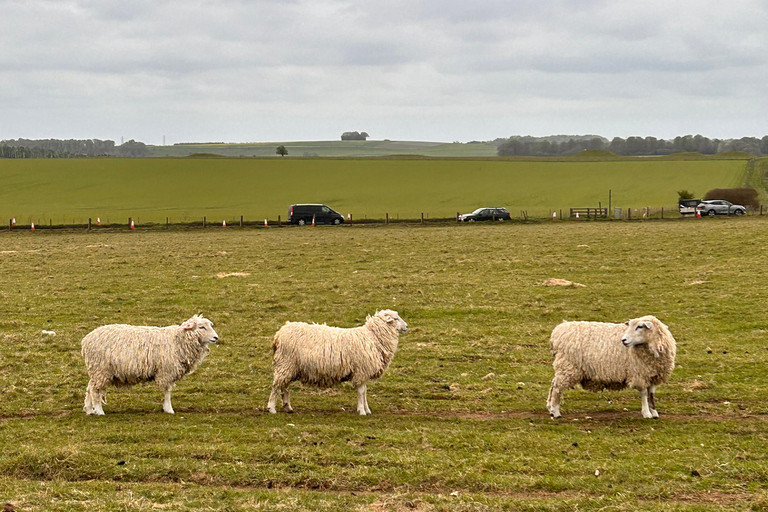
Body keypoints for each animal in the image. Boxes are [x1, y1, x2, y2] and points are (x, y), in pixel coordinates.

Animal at [82, 312, 219, 416]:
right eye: (201, 327)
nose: (216, 338)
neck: (178, 340)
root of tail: (87, 339)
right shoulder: (166, 370)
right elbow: (167, 390)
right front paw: (169, 409)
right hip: (101, 369)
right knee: (95, 390)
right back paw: (99, 411)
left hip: (97, 370)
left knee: (90, 387)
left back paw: (89, 410)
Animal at [268, 308, 404, 416]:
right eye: (396, 318)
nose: (406, 327)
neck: (373, 336)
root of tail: (279, 334)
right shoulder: (361, 370)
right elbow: (361, 392)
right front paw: (362, 411)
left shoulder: (363, 373)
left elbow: (364, 391)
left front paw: (367, 409)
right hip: (286, 363)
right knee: (276, 386)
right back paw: (271, 408)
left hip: (290, 367)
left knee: (284, 386)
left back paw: (288, 407)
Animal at [544, 316, 680, 420]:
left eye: (640, 327)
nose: (623, 340)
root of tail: (558, 332)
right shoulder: (639, 373)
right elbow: (643, 394)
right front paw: (646, 413)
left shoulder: (653, 374)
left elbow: (651, 394)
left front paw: (654, 413)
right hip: (568, 367)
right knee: (557, 388)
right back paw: (556, 412)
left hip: (564, 367)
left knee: (553, 385)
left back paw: (550, 408)